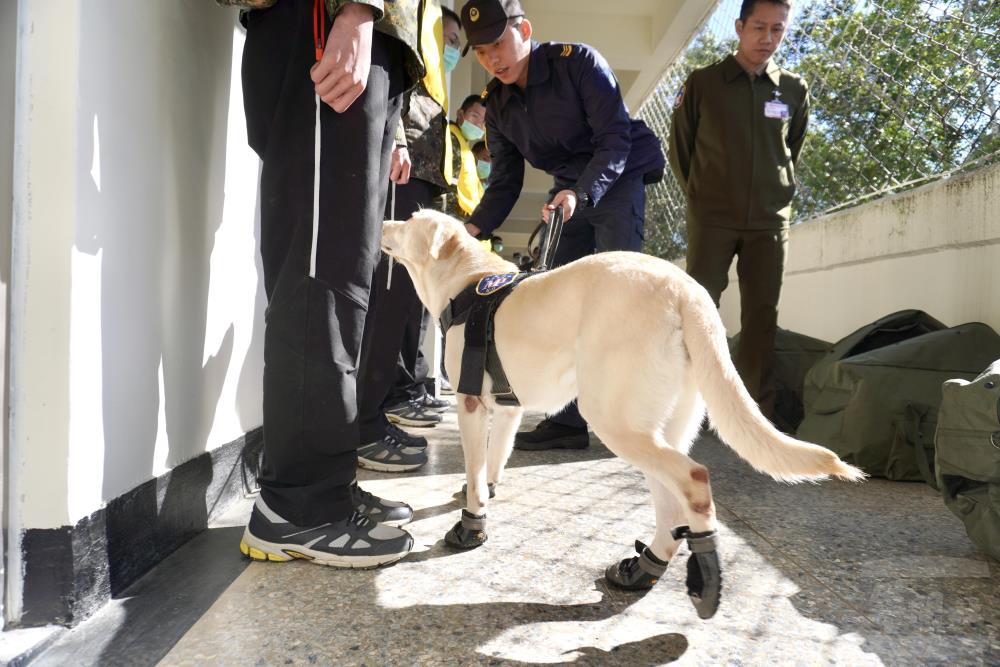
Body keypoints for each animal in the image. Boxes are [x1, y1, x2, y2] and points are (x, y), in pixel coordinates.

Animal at [378, 210, 864, 620]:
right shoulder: (508, 408)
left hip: (614, 419)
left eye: (410, 221)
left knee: (694, 480)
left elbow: (476, 469)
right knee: (673, 503)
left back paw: (706, 576)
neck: (468, 280)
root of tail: (686, 289)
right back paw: (643, 570)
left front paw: (471, 527)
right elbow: (491, 463)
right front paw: (483, 492)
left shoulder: (470, 404)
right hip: (658, 426)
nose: (383, 221)